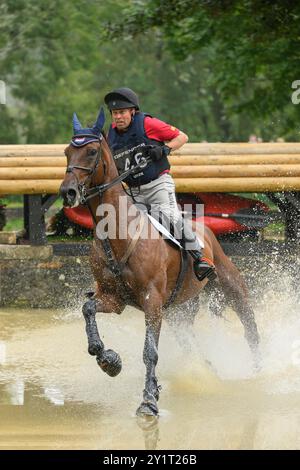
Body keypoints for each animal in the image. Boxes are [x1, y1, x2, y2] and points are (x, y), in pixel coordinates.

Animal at [59, 114, 258, 414]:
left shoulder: (151, 301)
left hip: (230, 286)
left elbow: (149, 352)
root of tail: (207, 231)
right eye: (67, 152)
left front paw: (148, 401)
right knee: (190, 342)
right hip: (179, 311)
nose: (67, 192)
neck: (117, 233)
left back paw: (259, 369)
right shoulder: (114, 298)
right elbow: (88, 309)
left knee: (249, 327)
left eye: (91, 151)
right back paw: (207, 369)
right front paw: (109, 361)